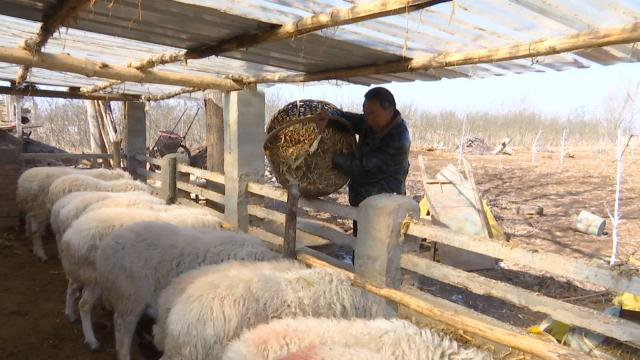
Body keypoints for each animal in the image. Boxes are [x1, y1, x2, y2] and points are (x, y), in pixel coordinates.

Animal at [60, 207, 224, 350]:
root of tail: (69, 236)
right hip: (97, 280)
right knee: (84, 304)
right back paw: (92, 340)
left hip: (85, 274)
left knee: (72, 287)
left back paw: (71, 313)